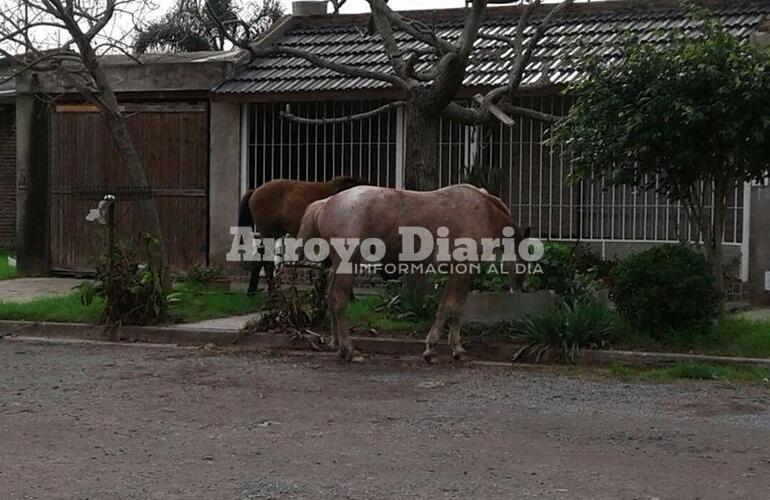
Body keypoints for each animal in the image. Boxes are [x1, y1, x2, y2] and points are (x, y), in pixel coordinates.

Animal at [298, 183, 528, 360]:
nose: (518, 287)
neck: (484, 212)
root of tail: (327, 202)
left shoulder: (454, 273)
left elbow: (447, 307)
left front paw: (439, 347)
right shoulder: (462, 270)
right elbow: (454, 307)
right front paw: (447, 348)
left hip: (338, 266)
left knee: (330, 298)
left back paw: (338, 346)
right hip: (348, 265)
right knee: (339, 301)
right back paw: (349, 350)